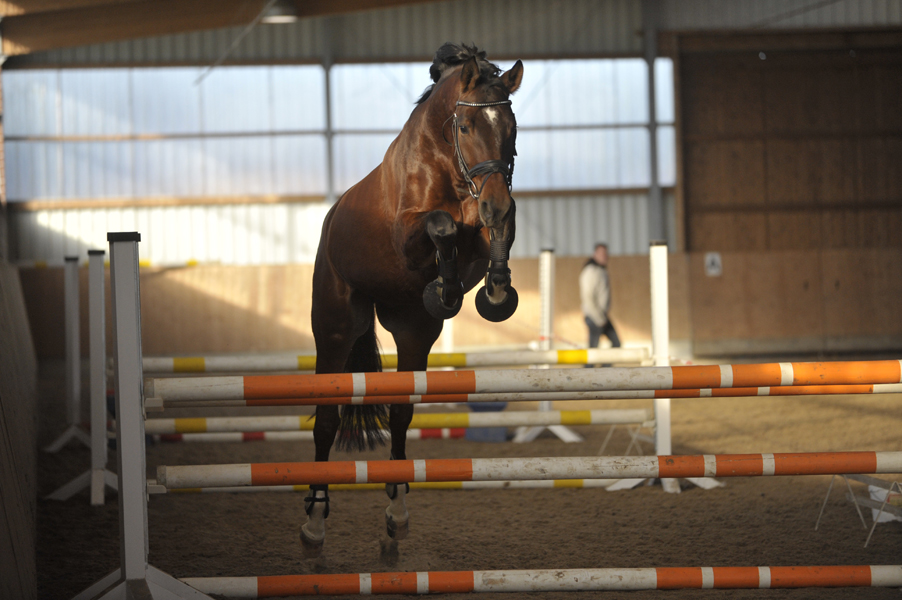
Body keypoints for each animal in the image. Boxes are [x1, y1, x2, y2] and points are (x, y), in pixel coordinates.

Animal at [306, 43, 524, 556]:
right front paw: (446, 288)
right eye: (466, 127)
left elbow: (496, 234)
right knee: (326, 420)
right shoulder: (410, 233)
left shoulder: (483, 223)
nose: (496, 201)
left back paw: (396, 515)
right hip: (336, 327)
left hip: (412, 330)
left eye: (512, 127)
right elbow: (441, 224)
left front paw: (495, 291)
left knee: (402, 413)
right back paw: (315, 522)